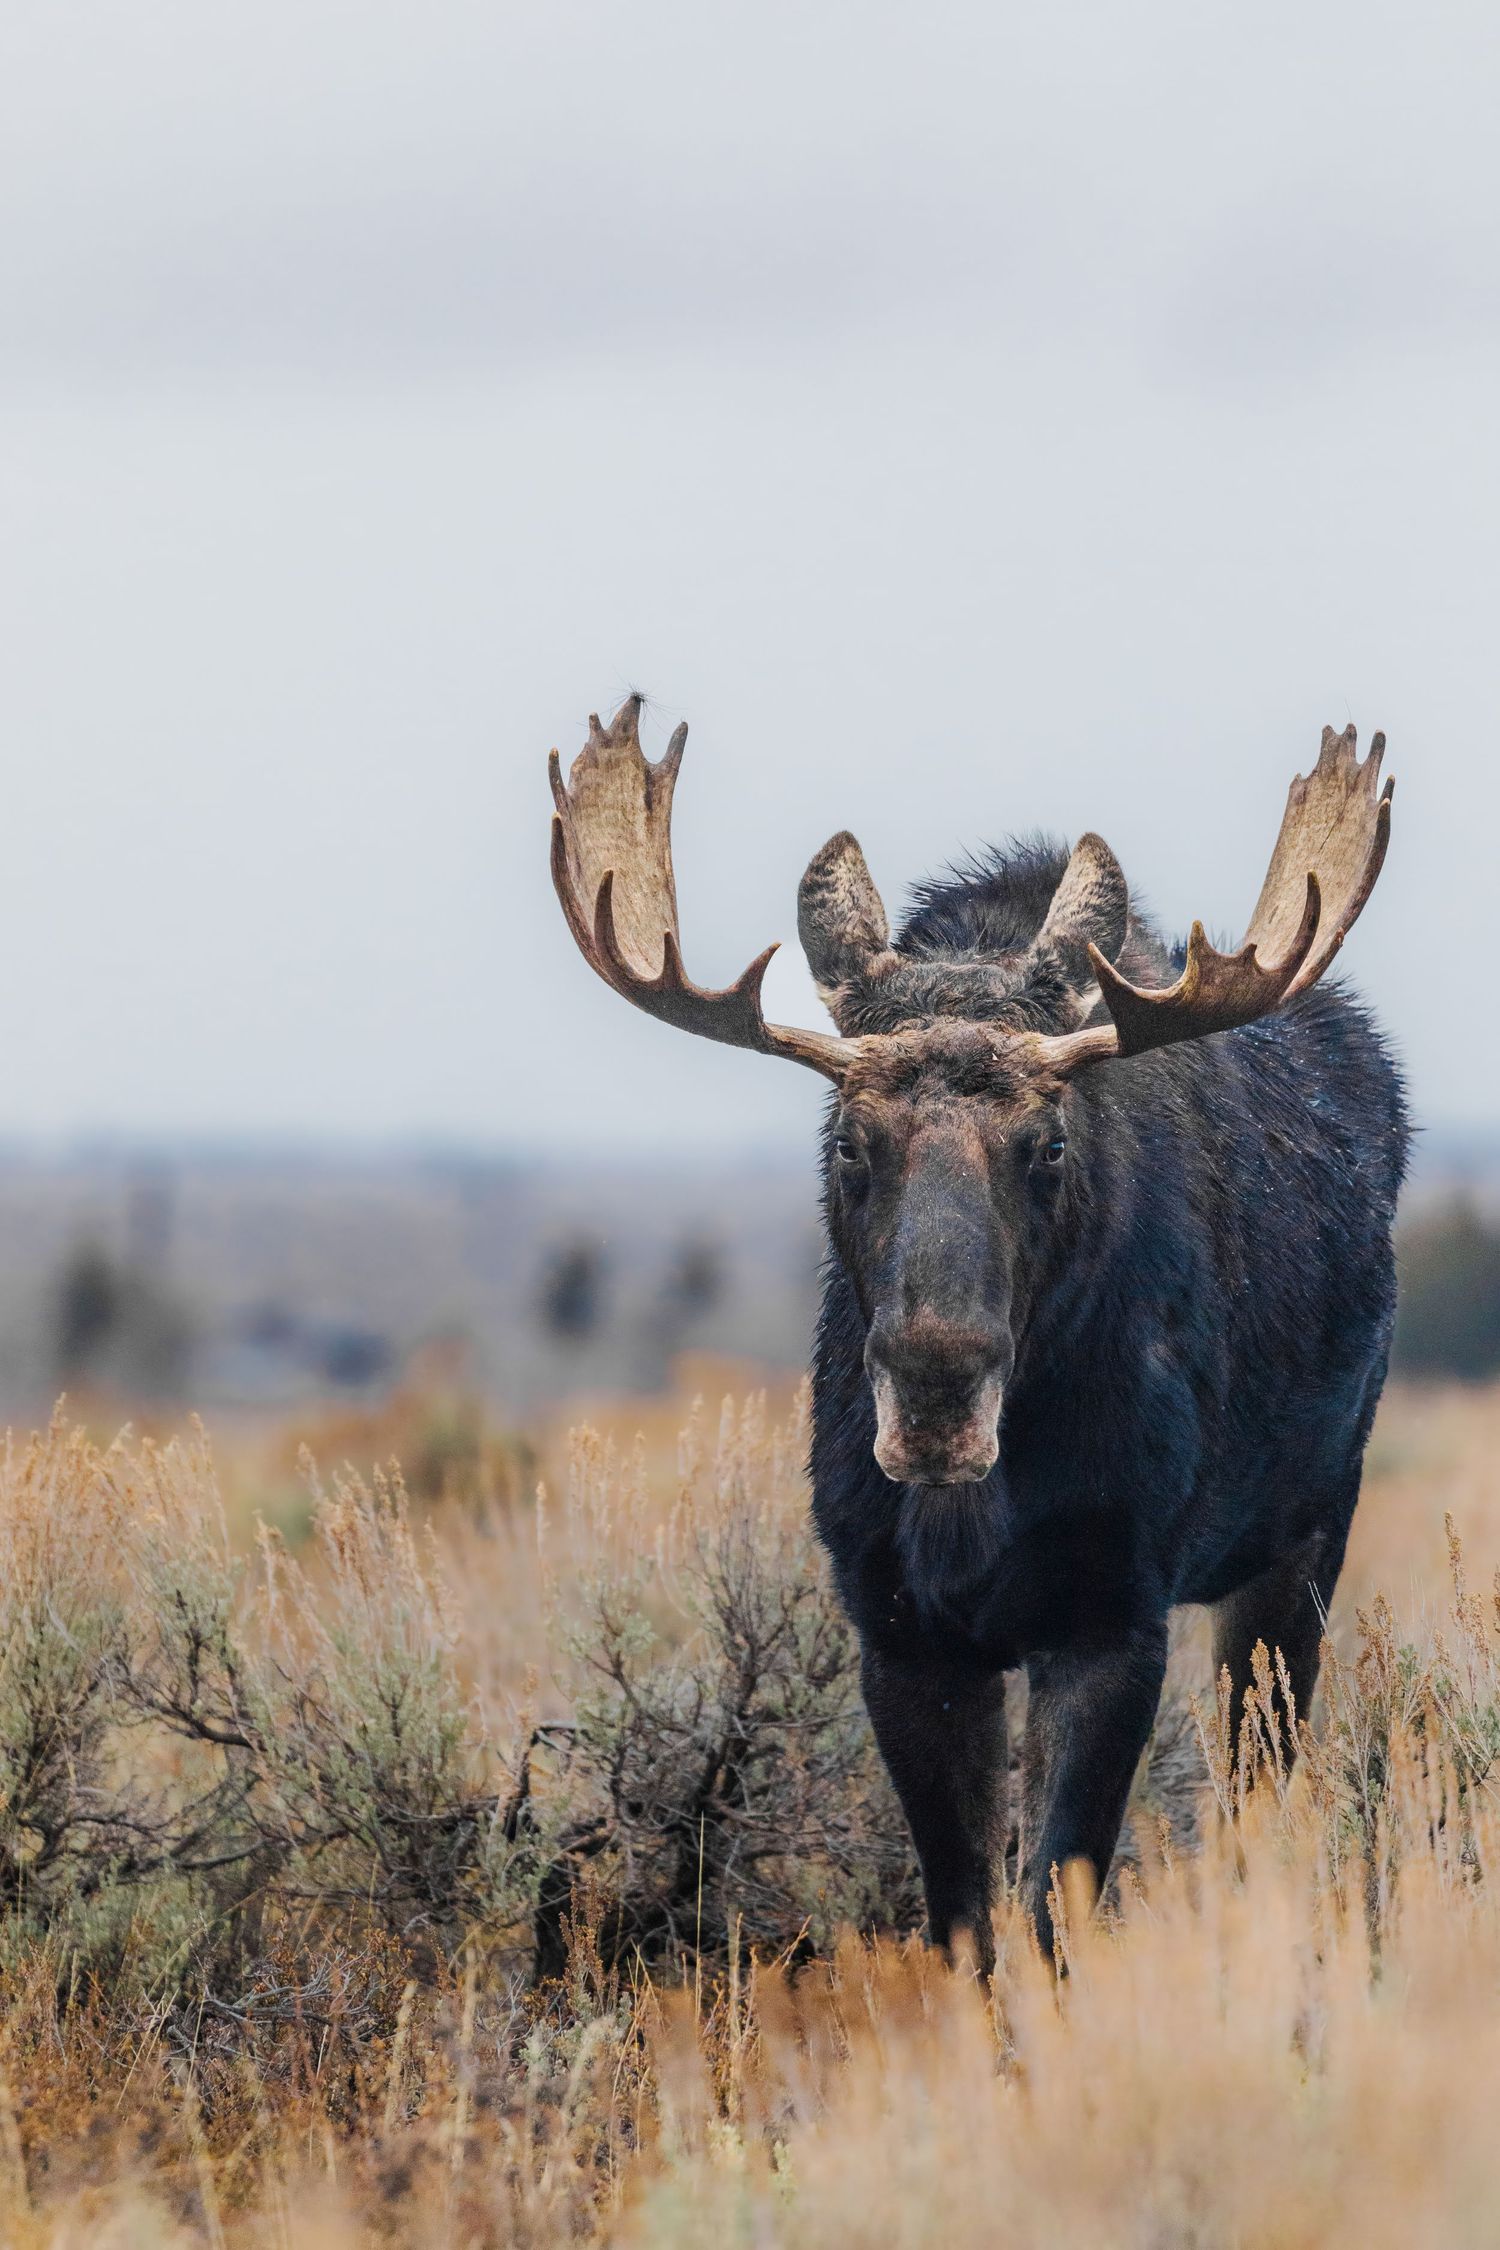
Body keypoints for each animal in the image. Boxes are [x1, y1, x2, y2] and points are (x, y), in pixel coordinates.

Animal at [548, 695, 1407, 1970]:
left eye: (1046, 1143)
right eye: (847, 1141)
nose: (937, 1392)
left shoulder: (1110, 1613)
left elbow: (1053, 1907)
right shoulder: (901, 1632)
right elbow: (962, 1923)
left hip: (1301, 1541)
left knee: (1263, 1792)